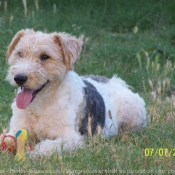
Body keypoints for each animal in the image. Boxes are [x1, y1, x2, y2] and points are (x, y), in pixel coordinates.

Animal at [0, 29, 146, 157]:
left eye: (45, 56)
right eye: (20, 53)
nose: (19, 78)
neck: (40, 105)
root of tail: (116, 82)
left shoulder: (71, 138)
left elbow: (46, 146)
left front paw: (32, 154)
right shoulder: (15, 129)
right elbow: (7, 138)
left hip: (132, 113)